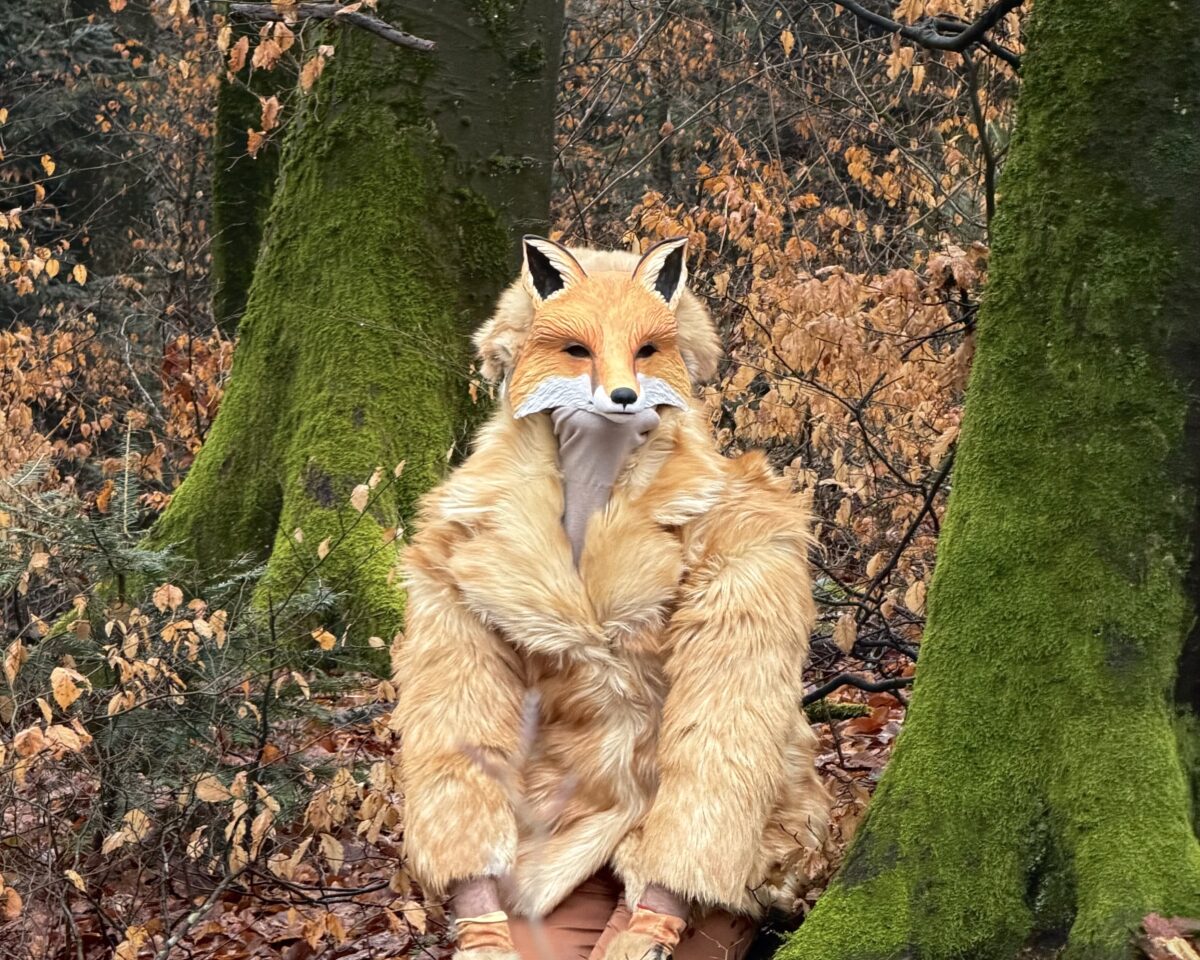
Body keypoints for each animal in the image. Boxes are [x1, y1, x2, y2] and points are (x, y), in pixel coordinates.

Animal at [394, 235, 828, 960]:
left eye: (648, 349)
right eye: (577, 350)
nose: (625, 396)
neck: (599, 487)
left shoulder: (753, 550)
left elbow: (713, 749)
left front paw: (650, 923)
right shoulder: (442, 569)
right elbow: (459, 740)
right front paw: (480, 924)